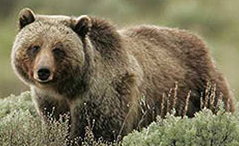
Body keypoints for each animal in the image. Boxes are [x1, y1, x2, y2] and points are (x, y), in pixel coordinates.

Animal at [11, 8, 235, 144]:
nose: (43, 71)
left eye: (58, 49)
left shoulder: (105, 94)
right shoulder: (51, 102)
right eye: (35, 46)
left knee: (218, 104)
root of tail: (201, 41)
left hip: (201, 88)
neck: (69, 87)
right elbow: (57, 125)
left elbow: (99, 131)